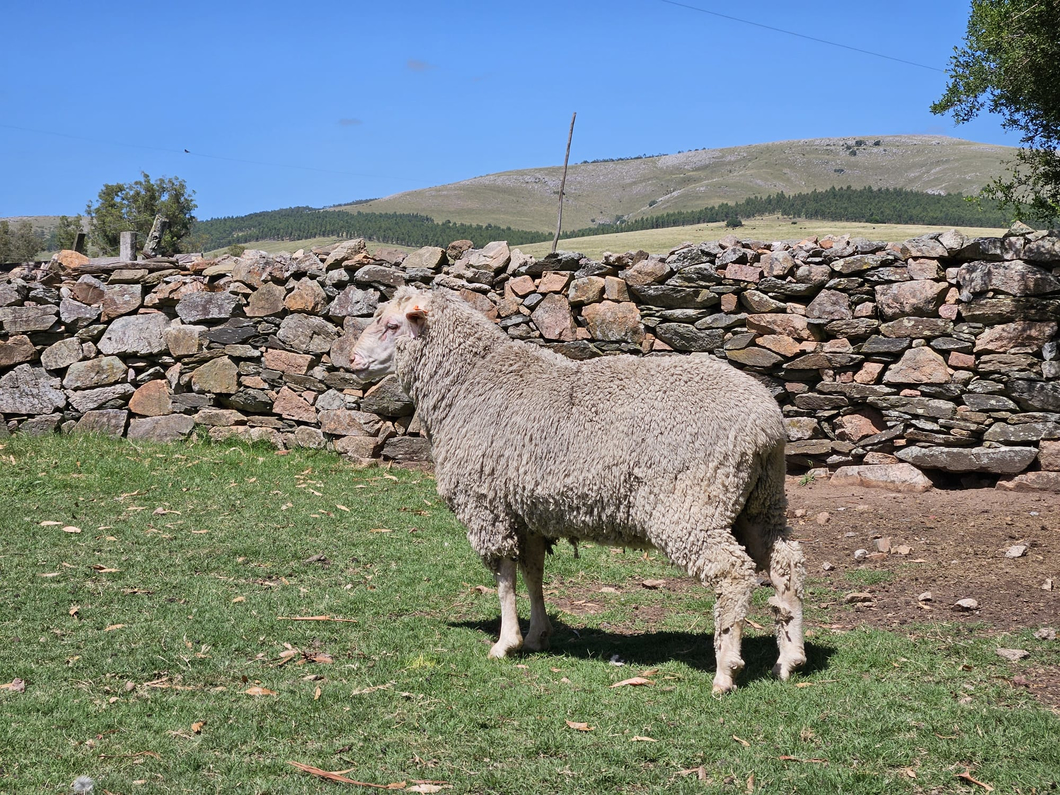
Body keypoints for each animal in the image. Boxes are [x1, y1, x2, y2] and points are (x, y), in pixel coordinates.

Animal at [349, 288, 801, 695]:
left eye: (392, 325)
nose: (351, 360)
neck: (466, 382)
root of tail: (766, 424)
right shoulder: (528, 509)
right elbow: (532, 572)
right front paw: (537, 634)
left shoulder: (486, 504)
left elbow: (504, 577)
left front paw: (506, 642)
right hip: (757, 501)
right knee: (785, 562)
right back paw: (790, 658)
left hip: (691, 504)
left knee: (733, 573)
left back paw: (726, 670)